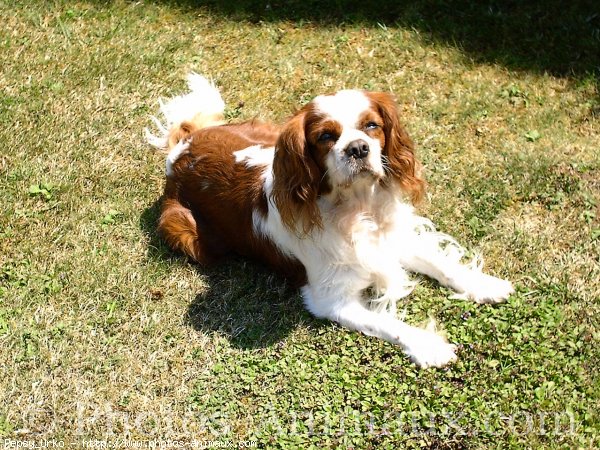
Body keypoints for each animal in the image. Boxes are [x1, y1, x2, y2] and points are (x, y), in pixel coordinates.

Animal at [146, 74, 516, 370]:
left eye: (372, 126)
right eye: (326, 136)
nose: (358, 149)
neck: (360, 208)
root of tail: (179, 152)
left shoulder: (392, 239)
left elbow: (443, 264)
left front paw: (483, 284)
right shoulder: (329, 299)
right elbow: (388, 324)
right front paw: (428, 344)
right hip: (181, 229)